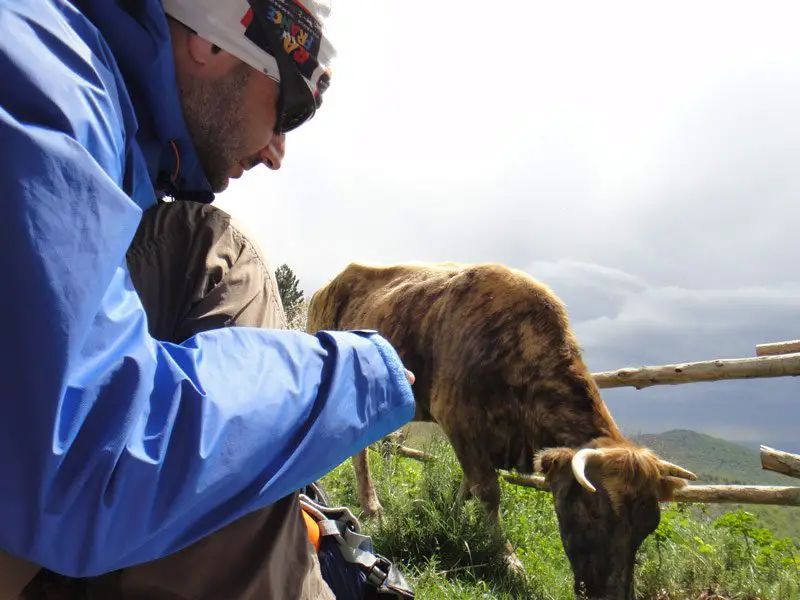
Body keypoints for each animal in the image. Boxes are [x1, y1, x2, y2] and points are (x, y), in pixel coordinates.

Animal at [306, 262, 692, 600]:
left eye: (648, 526)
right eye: (595, 511)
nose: (613, 595)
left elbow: (468, 487)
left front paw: (454, 517)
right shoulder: (457, 418)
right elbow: (488, 491)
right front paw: (508, 560)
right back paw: (371, 506)